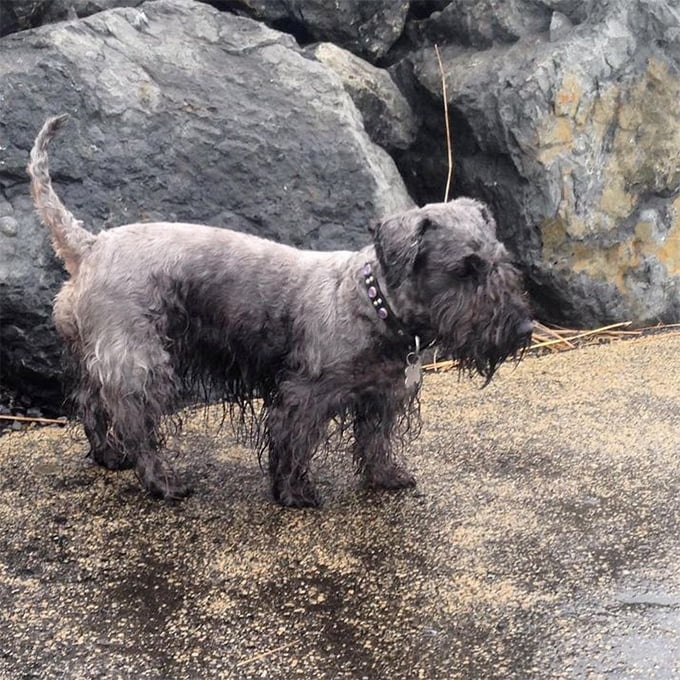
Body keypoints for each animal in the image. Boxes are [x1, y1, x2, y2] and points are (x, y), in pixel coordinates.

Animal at [29, 115, 532, 504]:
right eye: (465, 268)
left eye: (501, 260)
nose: (525, 328)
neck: (371, 303)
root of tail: (89, 246)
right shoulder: (303, 395)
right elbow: (293, 444)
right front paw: (295, 493)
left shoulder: (381, 398)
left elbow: (374, 442)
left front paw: (386, 477)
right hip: (140, 362)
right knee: (135, 421)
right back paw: (162, 482)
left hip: (102, 354)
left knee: (92, 403)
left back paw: (110, 457)